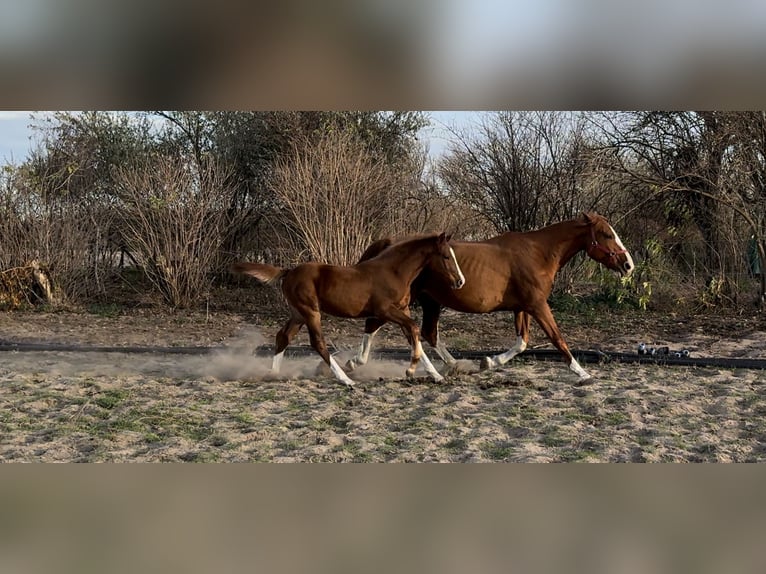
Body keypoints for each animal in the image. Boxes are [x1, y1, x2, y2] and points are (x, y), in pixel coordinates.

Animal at [230, 232, 465, 388]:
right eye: (446, 256)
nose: (460, 281)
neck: (394, 272)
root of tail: (288, 271)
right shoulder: (385, 311)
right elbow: (415, 329)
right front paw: (410, 370)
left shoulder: (400, 310)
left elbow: (413, 336)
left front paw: (436, 375)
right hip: (311, 312)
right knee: (318, 342)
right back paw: (345, 379)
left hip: (298, 314)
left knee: (283, 336)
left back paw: (273, 373)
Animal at [346, 212, 634, 382]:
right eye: (607, 234)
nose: (629, 265)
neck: (538, 253)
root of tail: (389, 243)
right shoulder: (538, 305)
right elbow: (557, 338)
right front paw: (582, 372)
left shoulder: (522, 308)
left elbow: (522, 343)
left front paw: (487, 362)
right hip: (408, 301)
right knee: (379, 325)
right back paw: (354, 362)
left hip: (429, 302)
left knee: (426, 332)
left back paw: (455, 364)